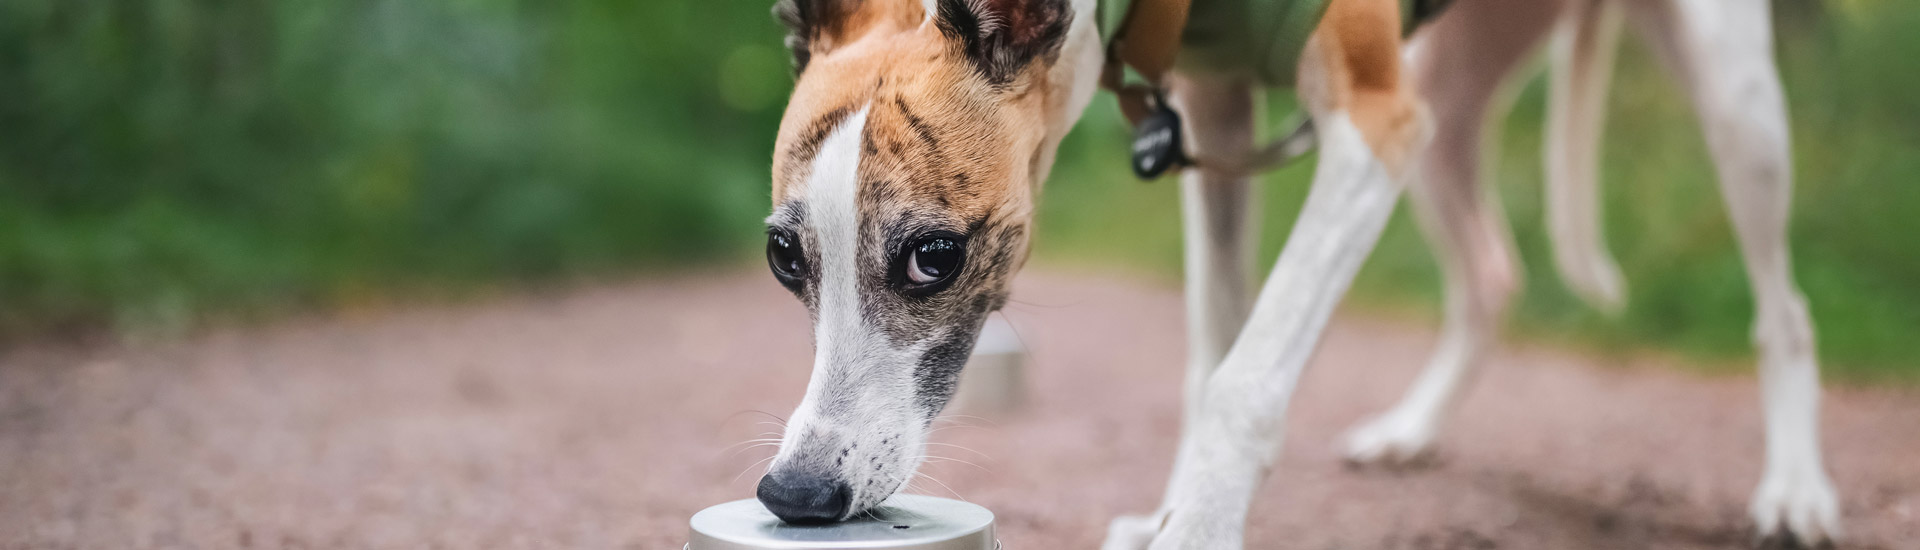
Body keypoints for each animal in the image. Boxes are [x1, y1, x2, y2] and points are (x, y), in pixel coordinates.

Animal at [744, 0, 1827, 546]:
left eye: (936, 256)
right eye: (783, 257)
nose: (796, 495)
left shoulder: (1371, 124)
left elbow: (1246, 380)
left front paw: (1198, 528)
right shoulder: (1214, 115)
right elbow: (1210, 354)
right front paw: (1175, 511)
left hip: (1734, 99)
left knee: (1787, 305)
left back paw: (1796, 488)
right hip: (1441, 108)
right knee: (1490, 275)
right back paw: (1412, 427)